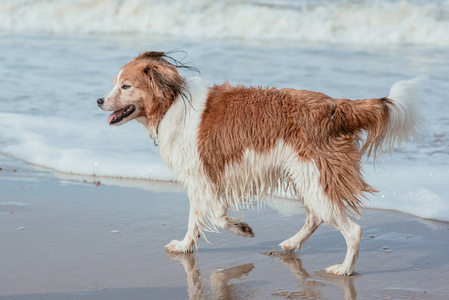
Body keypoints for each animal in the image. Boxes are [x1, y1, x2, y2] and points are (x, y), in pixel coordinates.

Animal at [96, 51, 422, 276]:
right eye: (115, 84)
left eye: (125, 86)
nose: (98, 100)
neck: (173, 102)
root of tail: (335, 107)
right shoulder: (202, 178)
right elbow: (198, 217)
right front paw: (186, 246)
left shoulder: (204, 177)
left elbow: (214, 215)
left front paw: (240, 229)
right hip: (307, 177)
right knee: (315, 216)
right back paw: (292, 244)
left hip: (314, 176)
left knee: (351, 230)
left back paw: (344, 269)